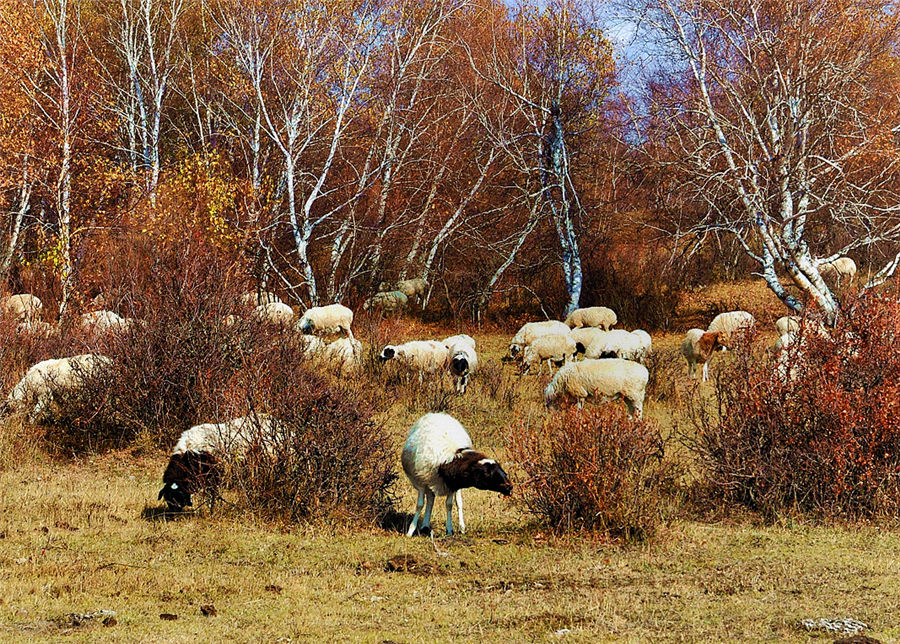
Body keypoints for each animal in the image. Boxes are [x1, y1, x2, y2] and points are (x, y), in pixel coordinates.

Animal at [402, 412, 512, 540]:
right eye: (486, 473)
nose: (509, 487)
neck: (448, 460)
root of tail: (437, 414)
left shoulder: (452, 485)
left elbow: (449, 505)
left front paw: (449, 530)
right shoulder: (421, 483)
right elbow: (420, 505)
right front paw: (411, 530)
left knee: (458, 502)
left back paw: (461, 527)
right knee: (430, 499)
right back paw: (425, 526)